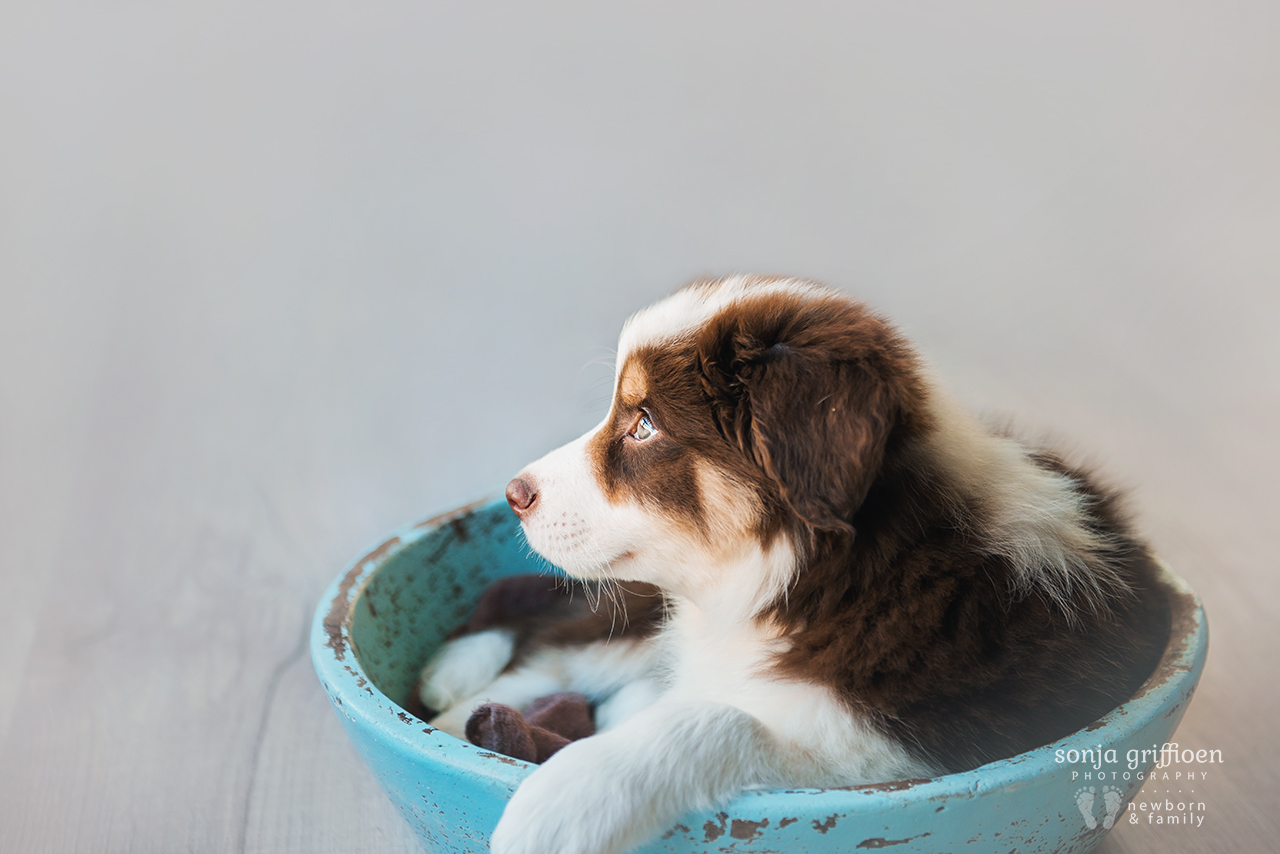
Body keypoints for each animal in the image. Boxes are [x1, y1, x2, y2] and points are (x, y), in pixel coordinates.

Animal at [422, 277, 1172, 854]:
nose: (515, 493)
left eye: (644, 424)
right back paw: (451, 703)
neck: (831, 575)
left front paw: (559, 803)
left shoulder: (894, 753)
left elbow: (715, 719)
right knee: (557, 644)